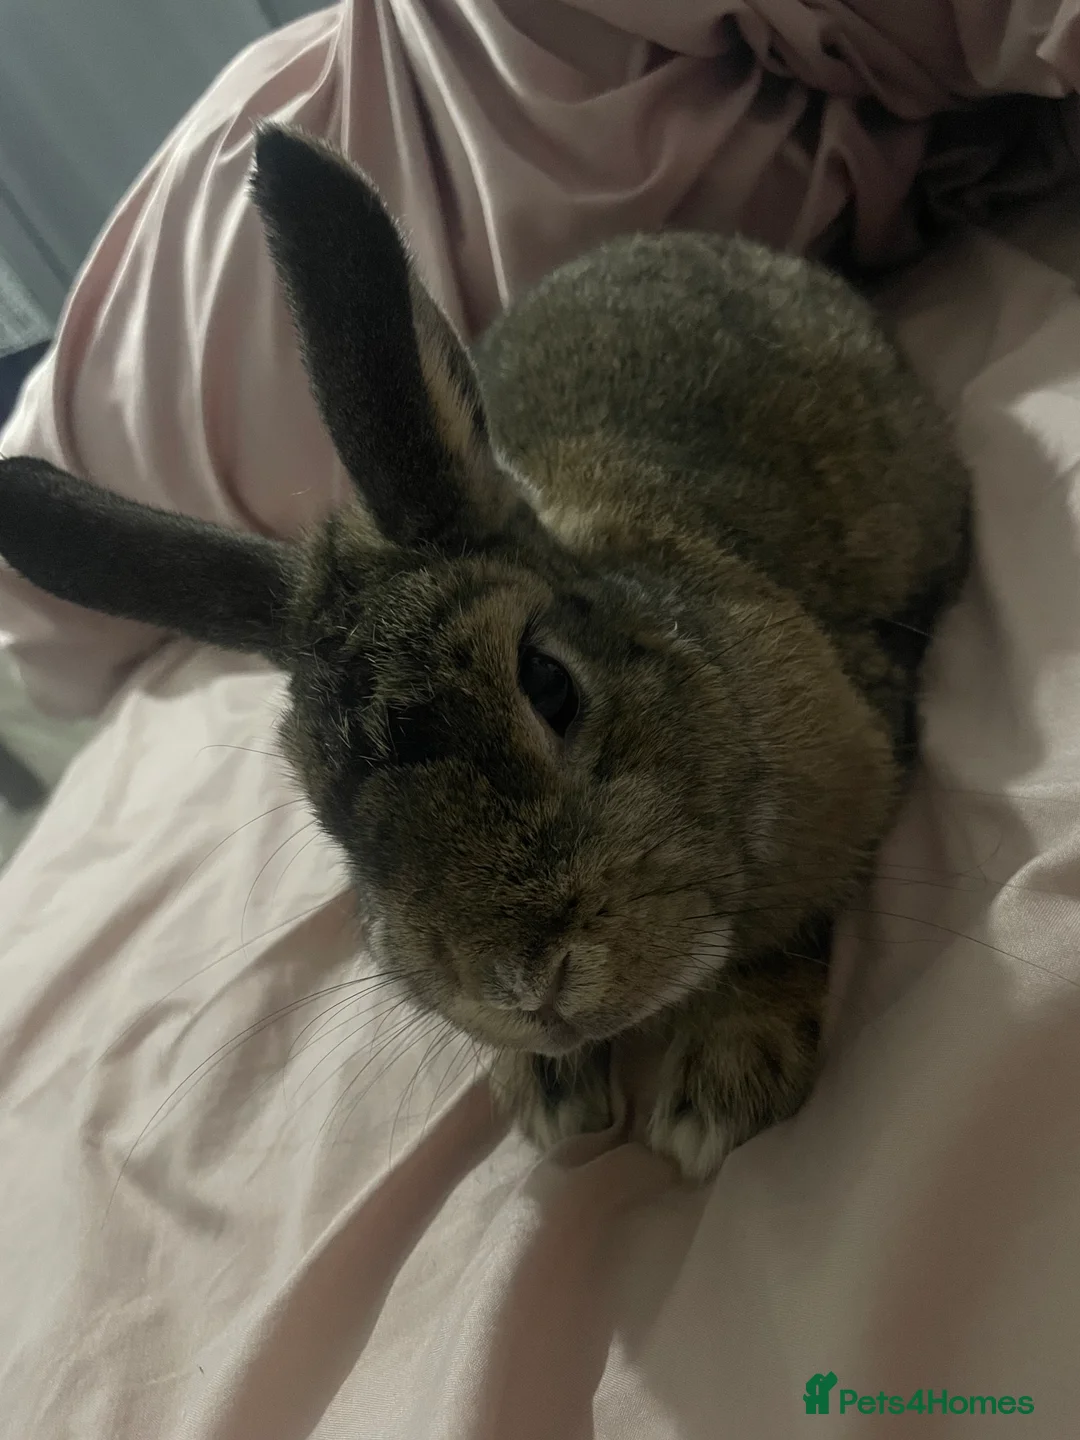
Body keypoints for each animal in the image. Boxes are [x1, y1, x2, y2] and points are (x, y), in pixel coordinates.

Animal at [0, 126, 970, 1181]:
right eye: (328, 818)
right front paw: (546, 1094)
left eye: (549, 682)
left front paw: (719, 1086)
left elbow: (780, 936)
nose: (524, 987)